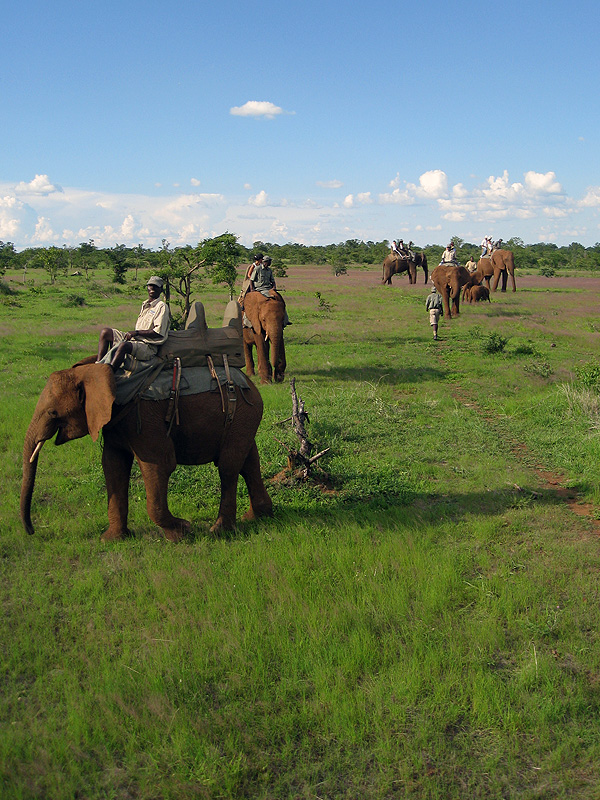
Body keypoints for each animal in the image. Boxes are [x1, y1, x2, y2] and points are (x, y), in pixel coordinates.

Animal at [19, 362, 272, 544]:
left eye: (52, 412)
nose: (31, 531)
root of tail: (251, 384)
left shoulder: (144, 419)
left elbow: (158, 466)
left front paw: (182, 532)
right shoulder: (116, 425)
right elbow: (113, 465)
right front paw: (111, 540)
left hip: (241, 412)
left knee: (228, 467)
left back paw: (219, 531)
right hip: (244, 418)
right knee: (249, 460)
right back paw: (257, 516)